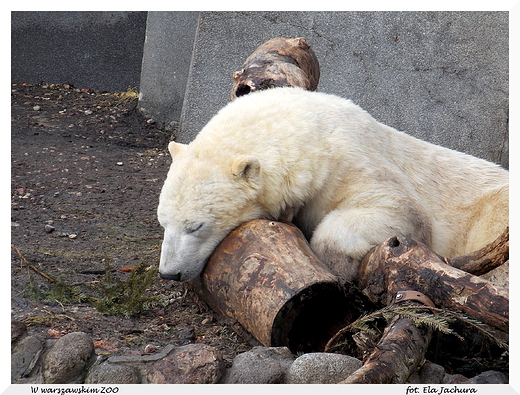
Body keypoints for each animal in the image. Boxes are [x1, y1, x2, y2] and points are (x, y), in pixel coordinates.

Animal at [157, 87, 508, 284]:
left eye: (196, 226)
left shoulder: (349, 160)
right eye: (163, 222)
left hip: (492, 211)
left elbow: (400, 209)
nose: (169, 273)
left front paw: (336, 265)